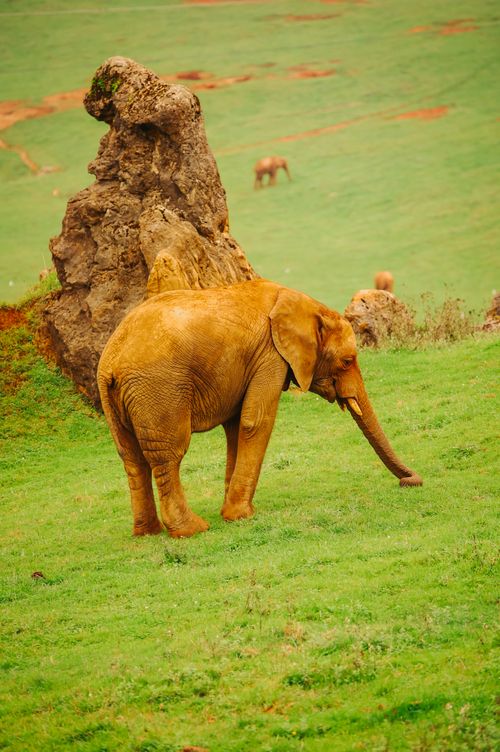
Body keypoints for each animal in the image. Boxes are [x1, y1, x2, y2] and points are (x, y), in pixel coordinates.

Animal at [97, 279, 422, 538]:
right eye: (346, 361)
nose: (411, 481)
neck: (302, 303)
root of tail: (112, 360)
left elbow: (235, 428)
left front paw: (233, 510)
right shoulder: (271, 355)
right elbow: (256, 420)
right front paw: (241, 515)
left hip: (113, 397)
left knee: (131, 457)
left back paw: (147, 533)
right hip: (159, 389)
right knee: (169, 456)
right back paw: (192, 530)